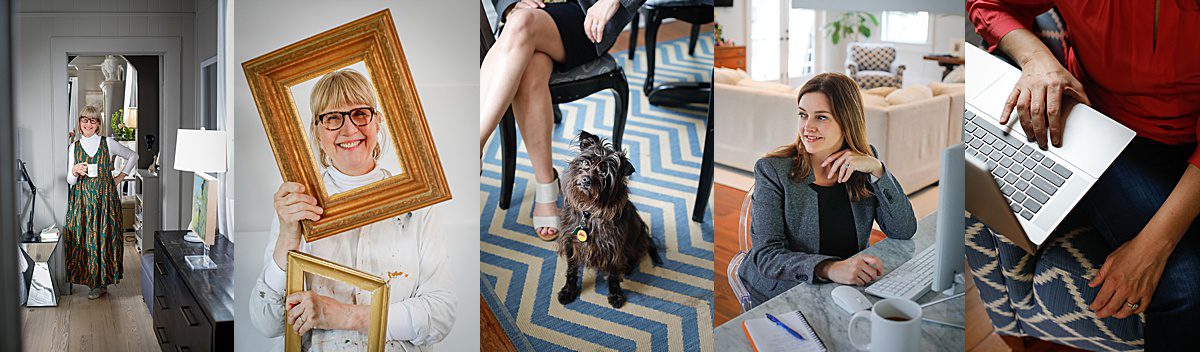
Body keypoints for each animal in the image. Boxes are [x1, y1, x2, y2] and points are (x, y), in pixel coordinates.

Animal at [556, 129, 662, 307]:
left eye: (604, 173)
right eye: (586, 162)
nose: (587, 179)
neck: (589, 213)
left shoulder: (614, 247)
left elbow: (613, 274)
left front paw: (615, 294)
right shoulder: (571, 243)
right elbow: (571, 270)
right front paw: (568, 291)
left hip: (637, 238)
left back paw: (628, 266)